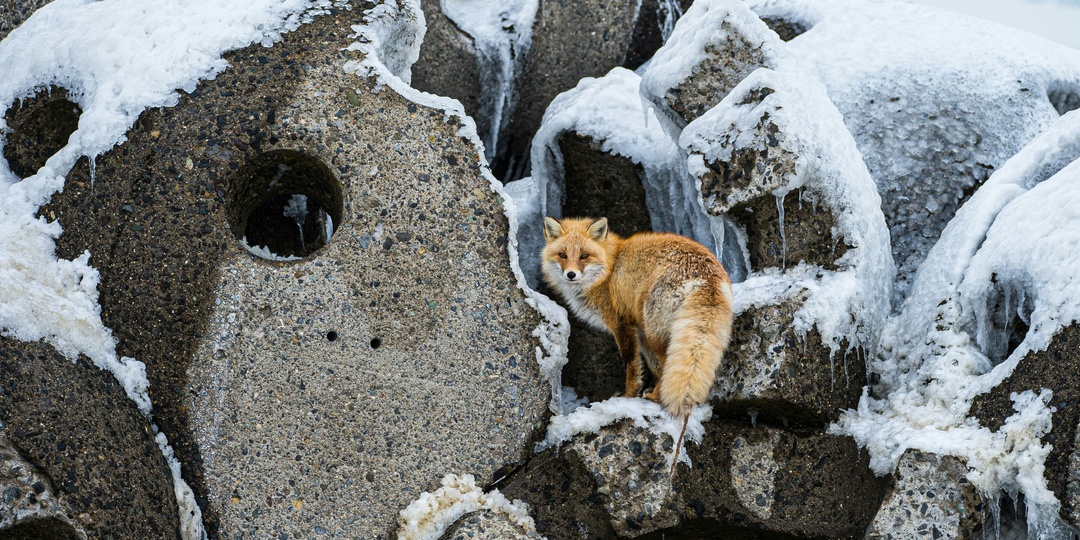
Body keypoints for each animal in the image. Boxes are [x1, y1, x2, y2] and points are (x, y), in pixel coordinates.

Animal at [540, 214, 734, 468]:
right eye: (563, 255)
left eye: (584, 256)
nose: (571, 274)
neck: (608, 271)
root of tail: (705, 272)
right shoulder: (639, 330)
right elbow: (653, 367)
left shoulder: (622, 325)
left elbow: (632, 365)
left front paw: (628, 397)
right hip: (656, 332)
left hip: (654, 331)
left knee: (669, 362)